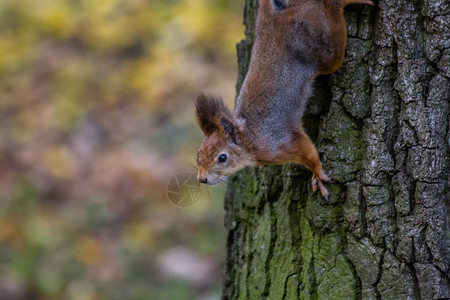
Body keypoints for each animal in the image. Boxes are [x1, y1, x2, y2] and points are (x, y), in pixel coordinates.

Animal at [193, 0, 372, 199]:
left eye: (222, 157)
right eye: (198, 154)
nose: (202, 179)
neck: (250, 138)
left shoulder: (284, 143)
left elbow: (309, 153)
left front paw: (318, 175)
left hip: (324, 49)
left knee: (333, 20)